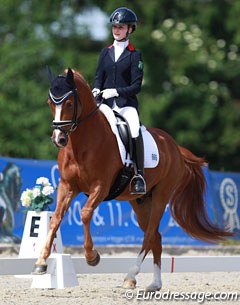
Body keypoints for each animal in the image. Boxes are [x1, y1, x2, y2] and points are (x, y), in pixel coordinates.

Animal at [32, 68, 232, 290]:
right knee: (156, 237)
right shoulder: (67, 186)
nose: (59, 139)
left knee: (149, 235)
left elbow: (84, 214)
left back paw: (131, 276)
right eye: (50, 102)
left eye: (68, 103)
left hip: (161, 196)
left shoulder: (100, 187)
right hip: (140, 201)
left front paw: (92, 256)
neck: (83, 143)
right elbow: (56, 219)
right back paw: (154, 283)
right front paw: (41, 262)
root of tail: (174, 146)